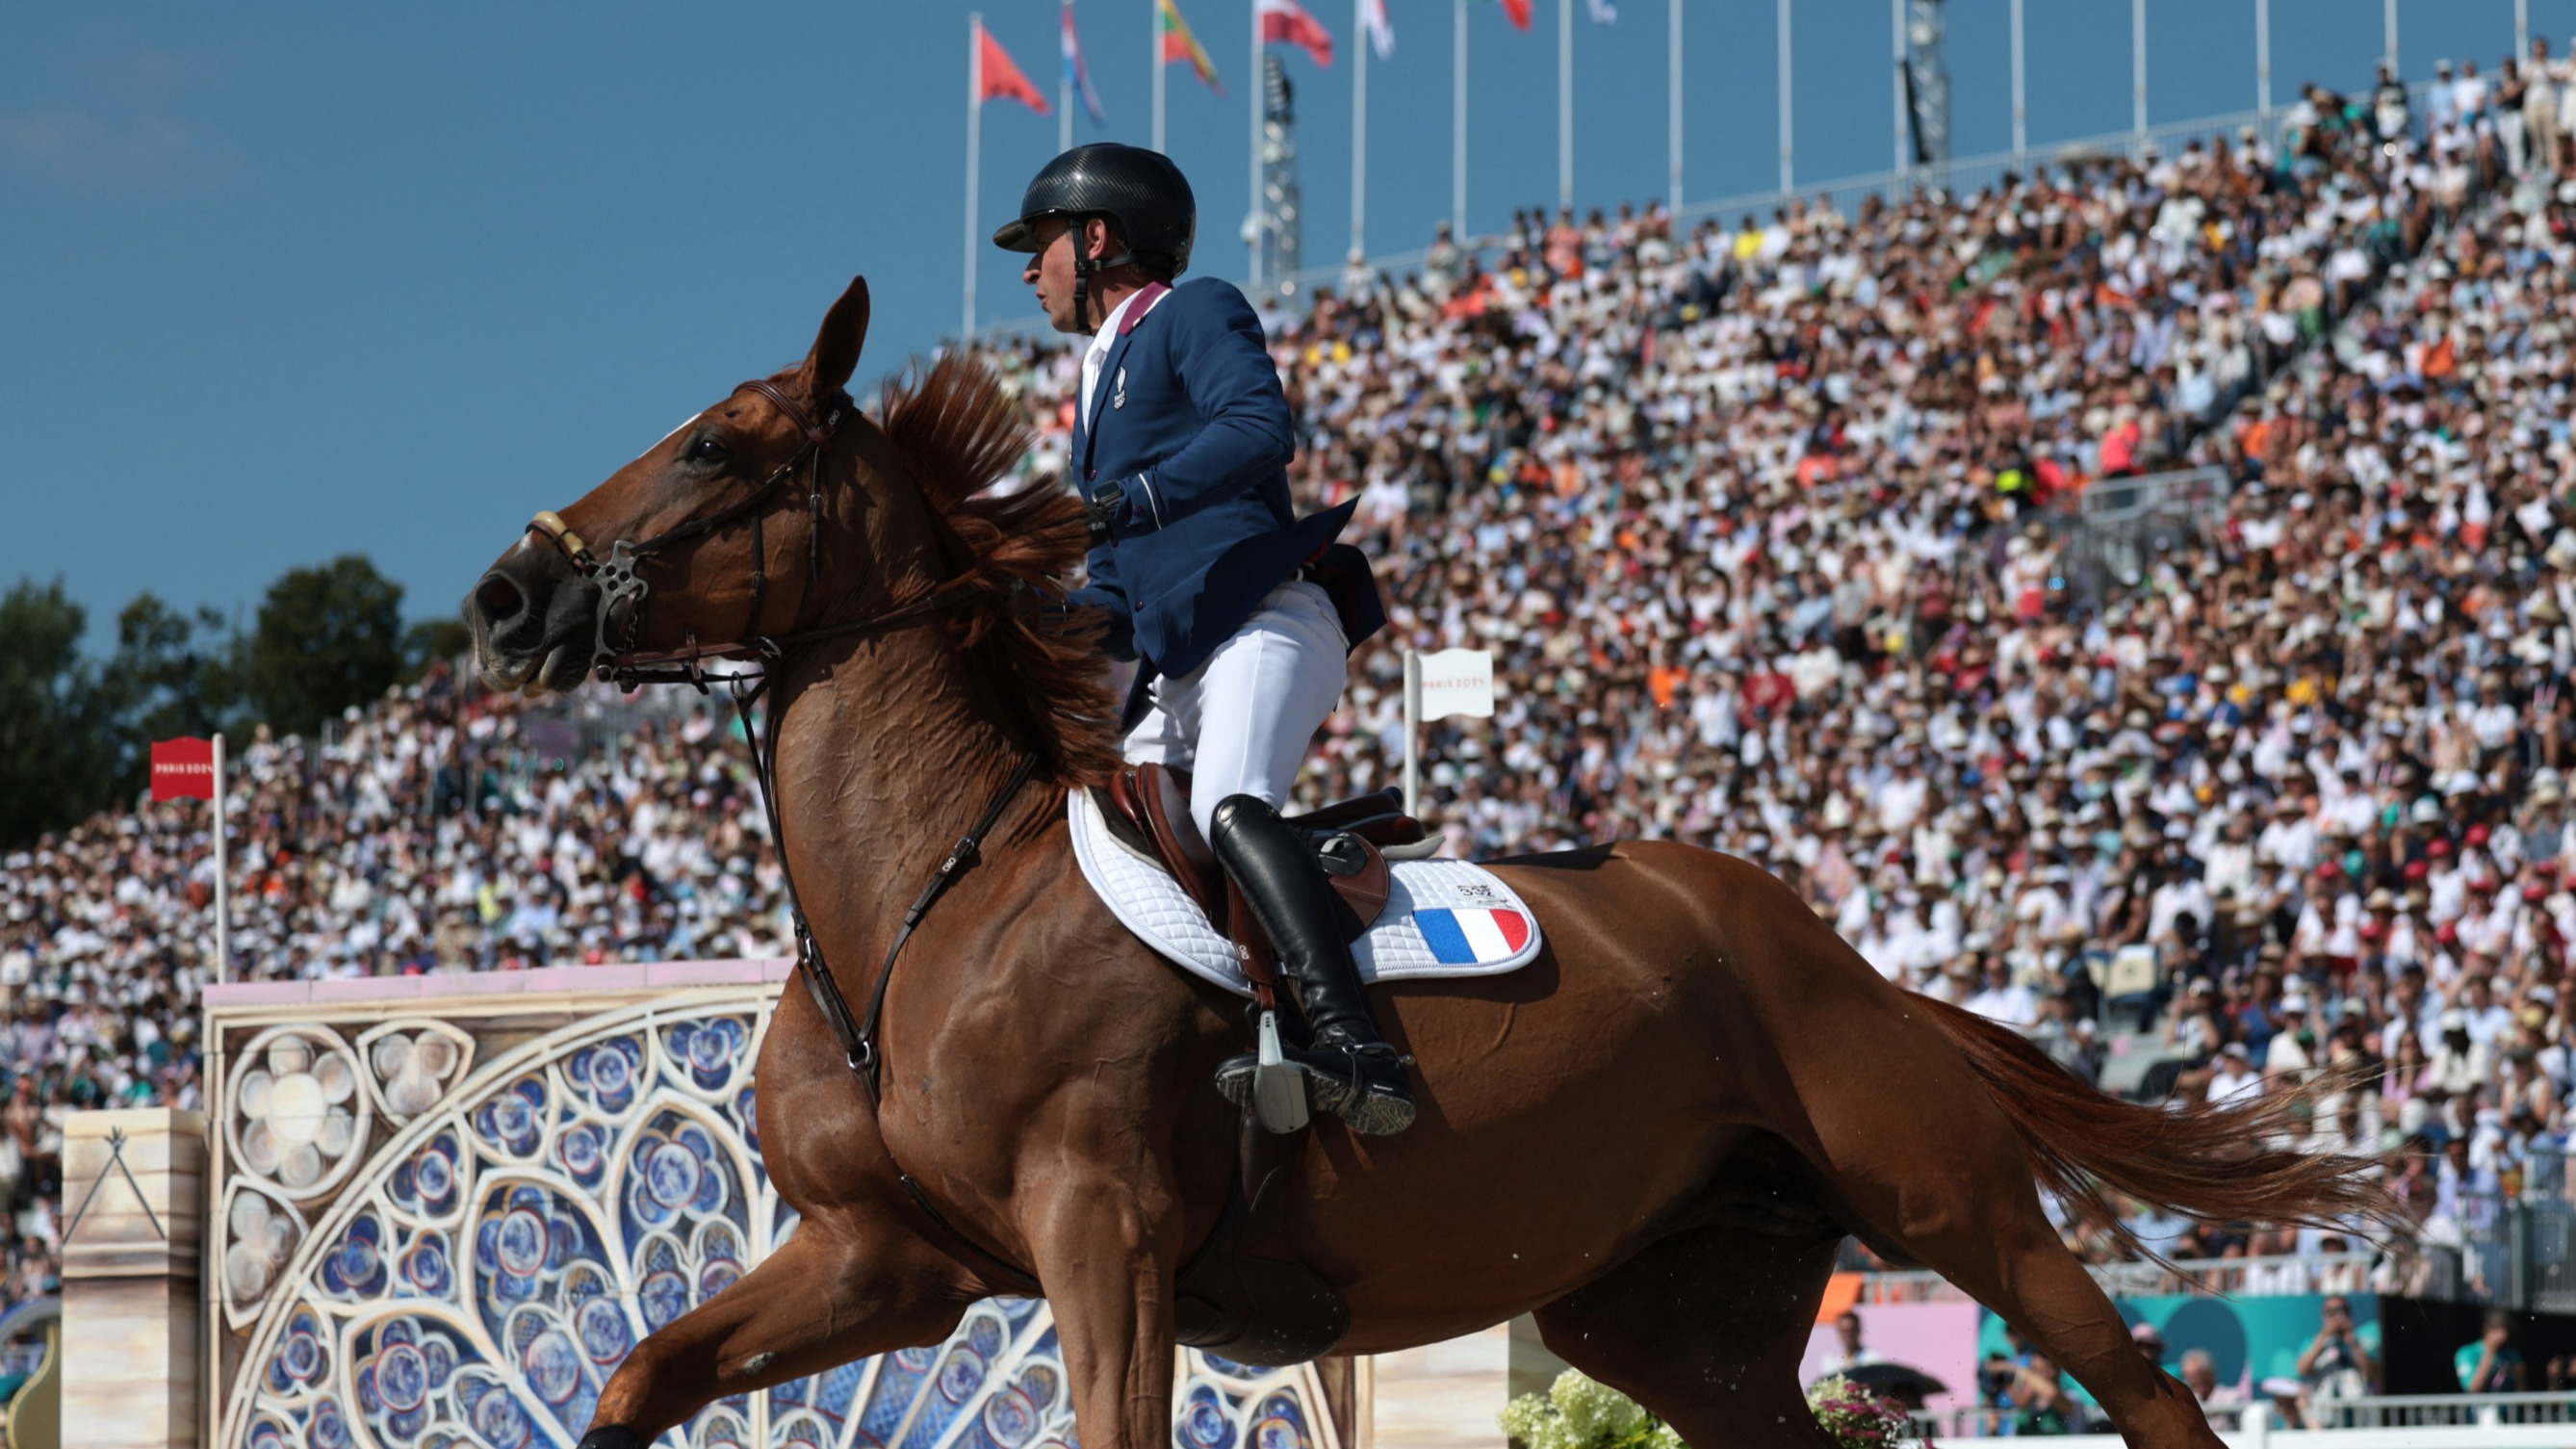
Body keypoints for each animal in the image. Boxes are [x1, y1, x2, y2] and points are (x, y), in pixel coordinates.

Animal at [463, 279, 2390, 1443]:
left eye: (719, 445)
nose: (505, 595)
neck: (925, 899)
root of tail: (1821, 947)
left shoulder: (1101, 1233)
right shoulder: (888, 1255)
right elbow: (637, 1374)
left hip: (1944, 1203)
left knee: (2138, 1383)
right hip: (1675, 1311)